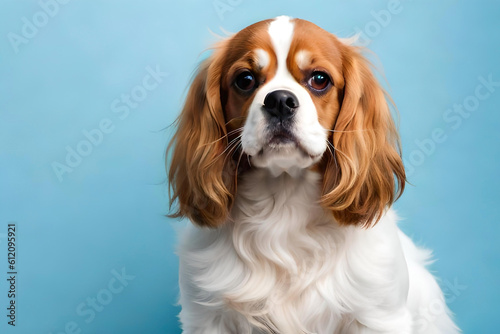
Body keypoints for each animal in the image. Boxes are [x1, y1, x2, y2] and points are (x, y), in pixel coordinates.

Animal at [168, 14, 460, 332]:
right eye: (245, 80)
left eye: (319, 79)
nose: (279, 100)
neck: (284, 200)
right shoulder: (208, 318)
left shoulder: (378, 315)